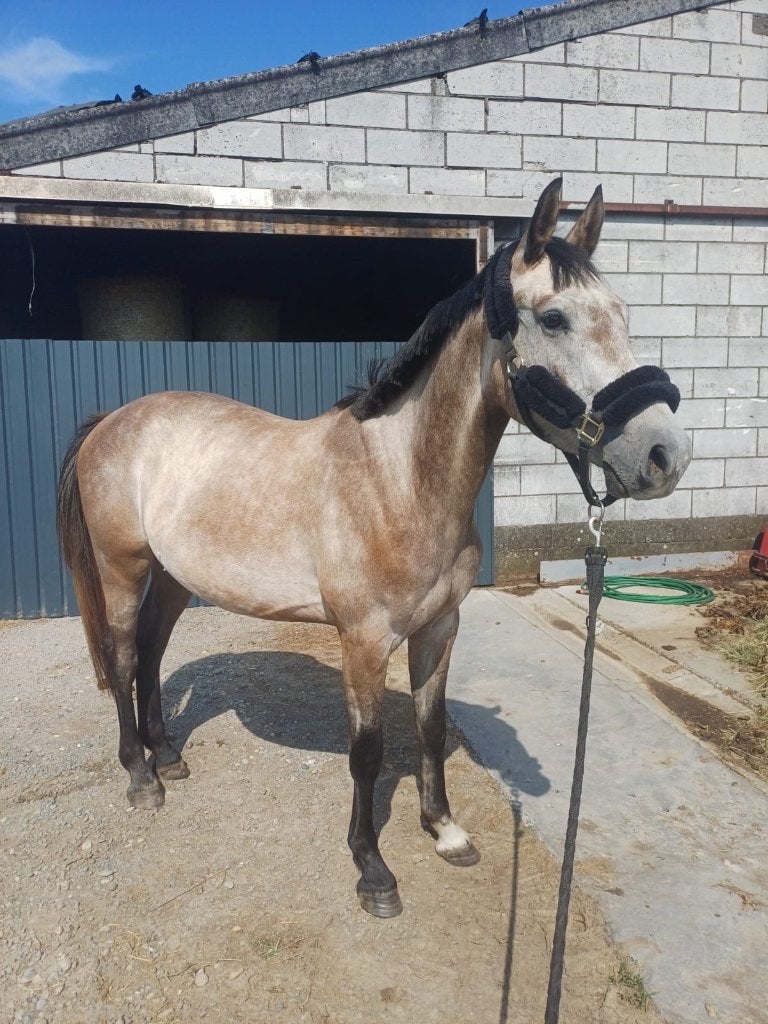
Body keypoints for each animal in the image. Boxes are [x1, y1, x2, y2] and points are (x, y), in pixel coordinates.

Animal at [56, 178, 691, 918]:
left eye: (621, 313)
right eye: (555, 318)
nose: (665, 455)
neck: (400, 480)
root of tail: (113, 420)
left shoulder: (439, 628)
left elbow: (431, 727)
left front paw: (445, 830)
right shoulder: (363, 640)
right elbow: (368, 750)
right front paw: (373, 868)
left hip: (175, 575)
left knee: (153, 652)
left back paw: (168, 757)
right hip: (122, 569)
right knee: (126, 657)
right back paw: (141, 776)